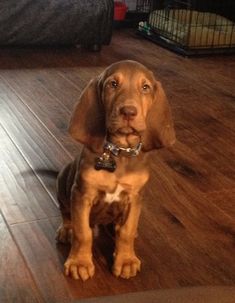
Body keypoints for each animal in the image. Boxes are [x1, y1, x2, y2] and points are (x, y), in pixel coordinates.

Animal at [56, 60, 175, 282]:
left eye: (145, 87)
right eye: (113, 84)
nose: (128, 112)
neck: (119, 152)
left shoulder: (135, 197)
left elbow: (126, 232)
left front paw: (126, 260)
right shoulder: (82, 194)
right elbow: (83, 233)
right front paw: (79, 263)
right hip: (63, 180)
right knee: (66, 212)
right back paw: (66, 229)